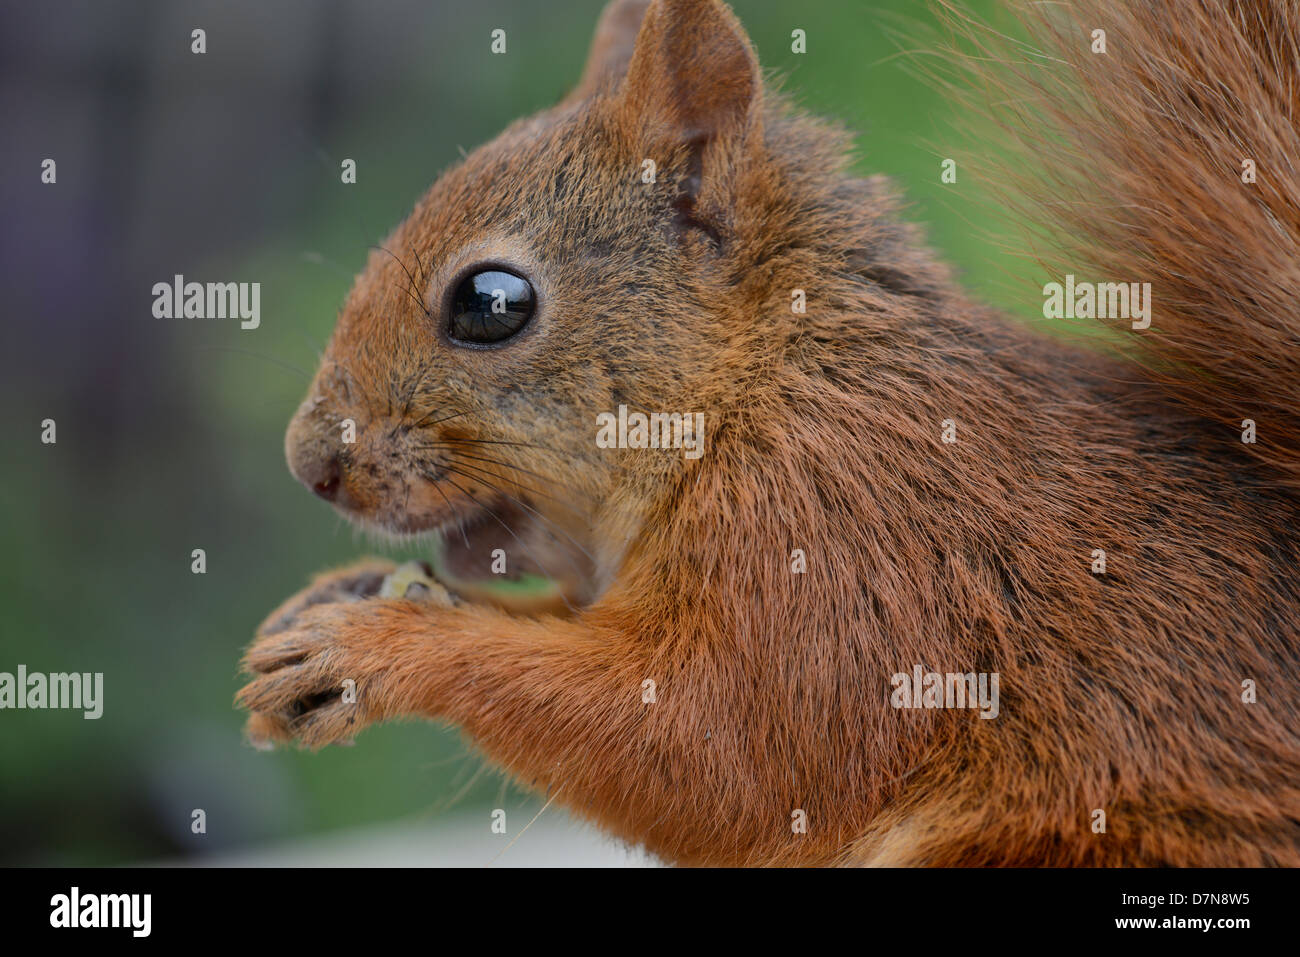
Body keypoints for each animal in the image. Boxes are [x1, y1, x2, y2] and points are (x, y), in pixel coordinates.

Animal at [236, 0, 1300, 868]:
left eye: (490, 303)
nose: (310, 463)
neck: (757, 390)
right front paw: (336, 598)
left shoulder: (838, 541)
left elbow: (722, 754)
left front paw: (379, 645)